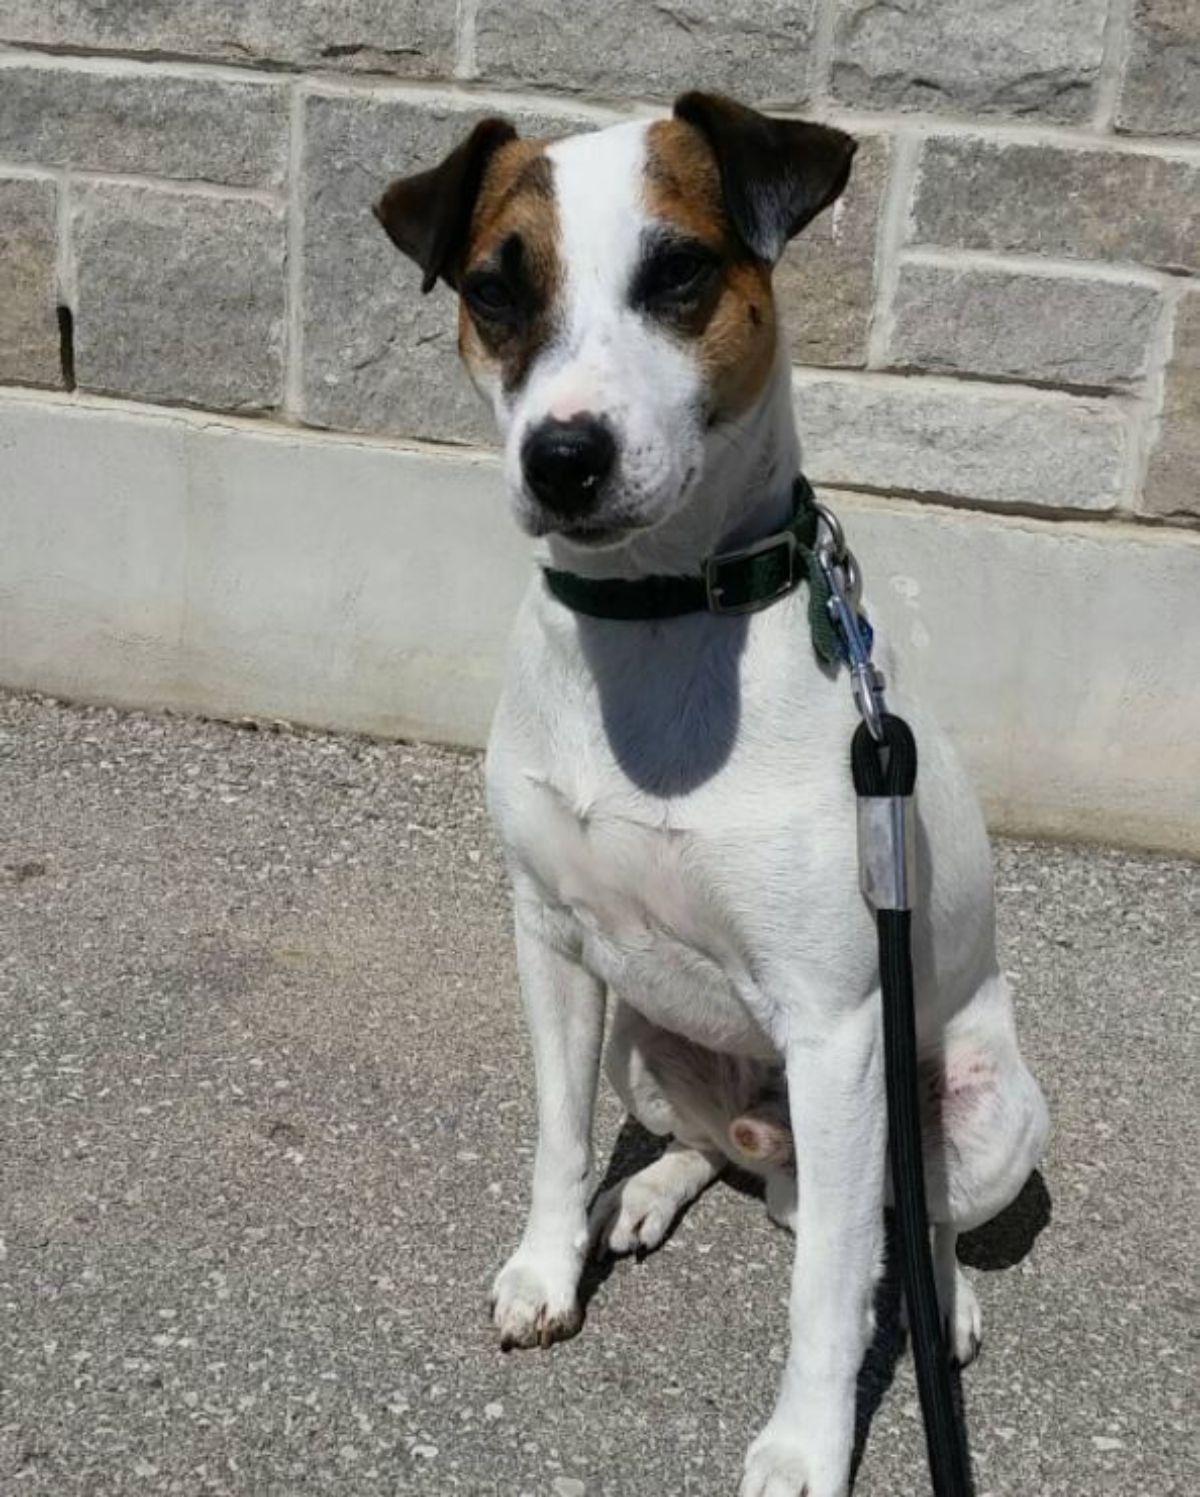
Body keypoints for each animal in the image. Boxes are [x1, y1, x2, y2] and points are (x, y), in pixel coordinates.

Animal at [377, 93, 1047, 1497]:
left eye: (679, 272)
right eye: (492, 290)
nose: (563, 457)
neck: (654, 619)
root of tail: (769, 1140)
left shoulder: (840, 1031)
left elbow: (828, 1289)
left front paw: (803, 1445)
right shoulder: (553, 946)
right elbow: (556, 1138)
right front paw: (547, 1262)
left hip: (979, 1108)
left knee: (918, 1226)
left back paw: (946, 1302)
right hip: (647, 1042)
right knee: (699, 1145)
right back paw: (642, 1196)